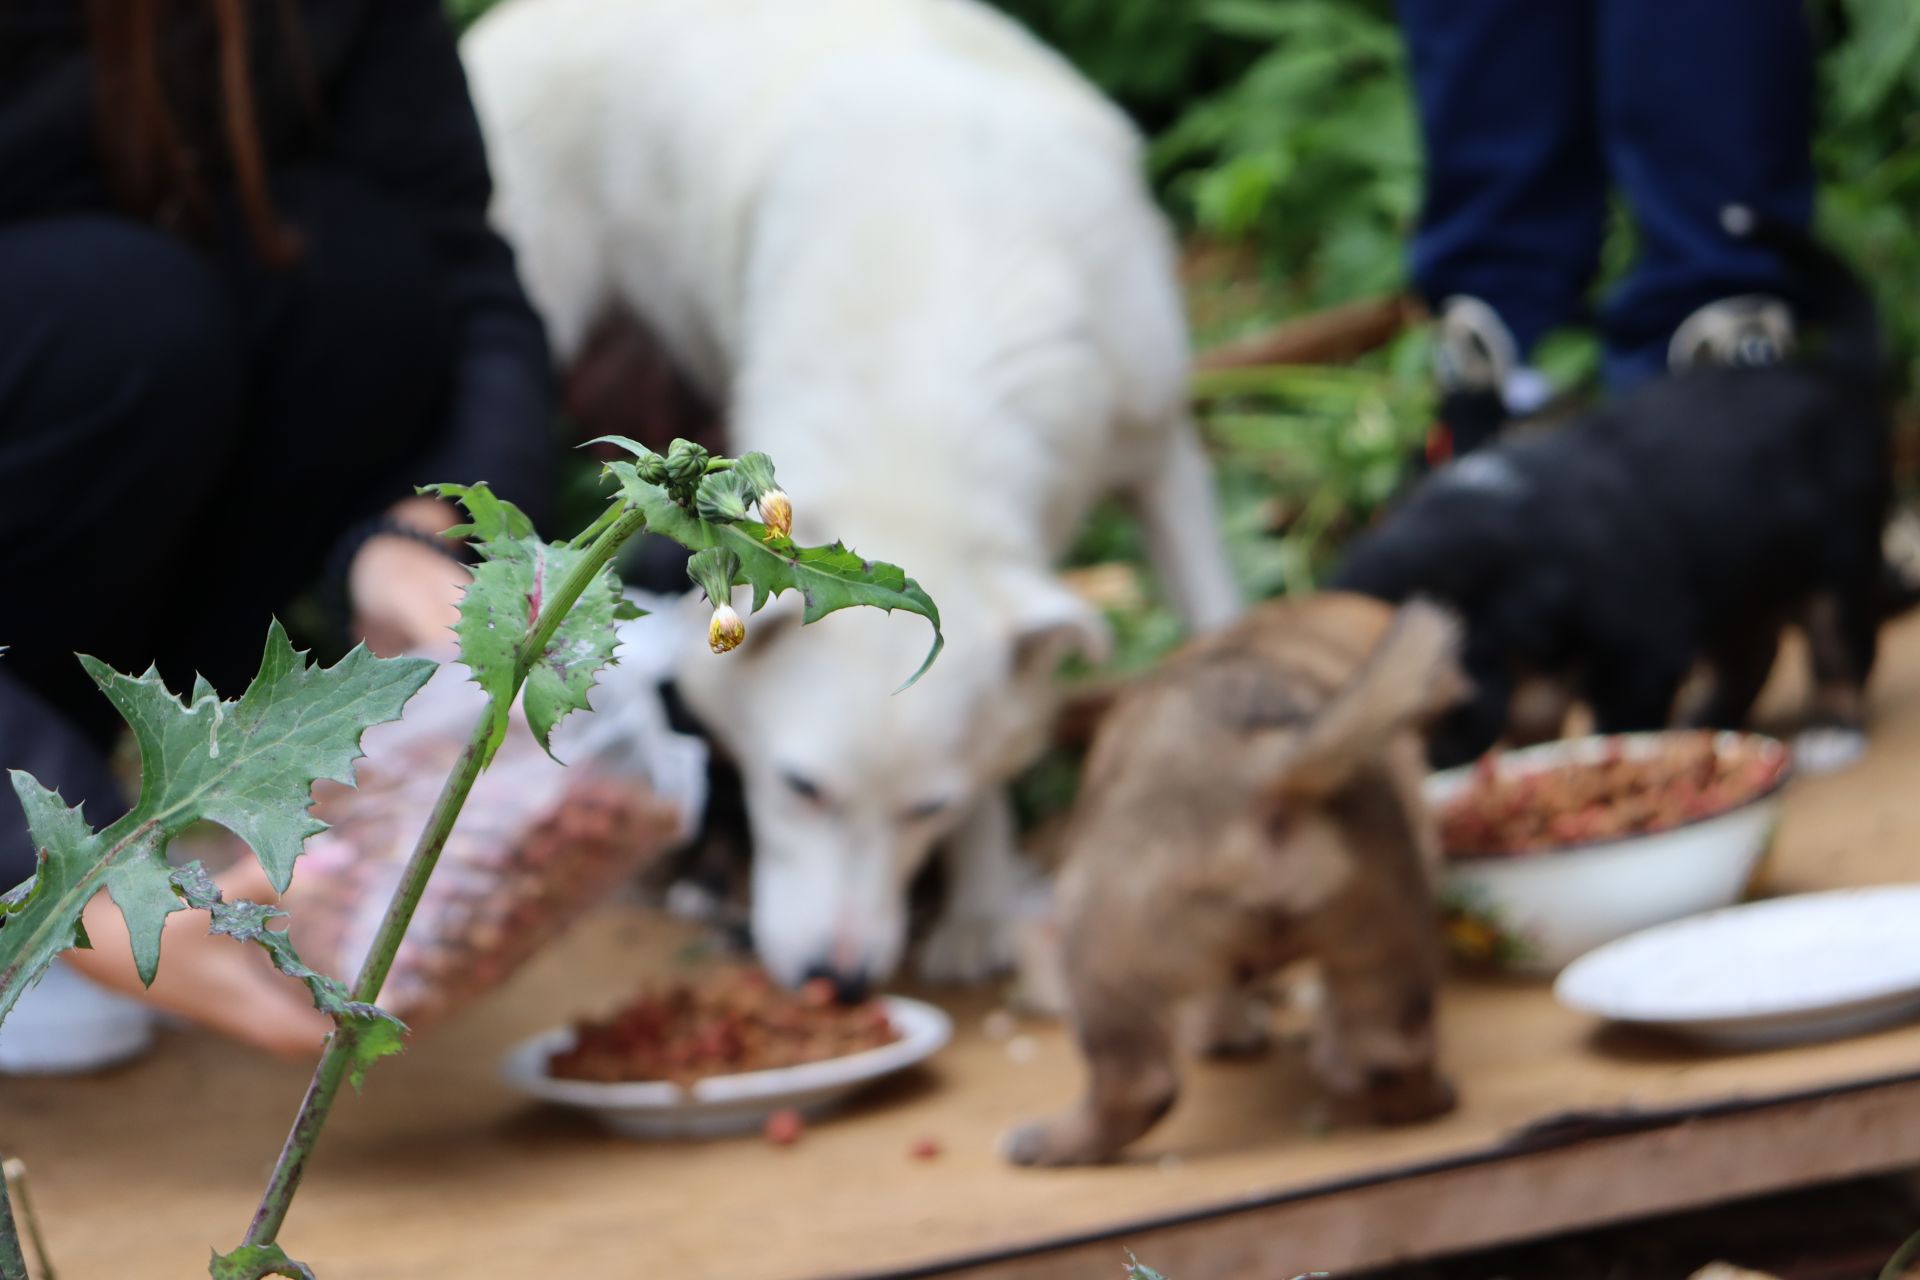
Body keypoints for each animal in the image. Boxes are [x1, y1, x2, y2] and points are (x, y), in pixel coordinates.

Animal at [464, 0, 1244, 990]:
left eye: (927, 811)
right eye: (801, 788)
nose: (834, 982)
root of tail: (496, 29)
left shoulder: (1159, 447)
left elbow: (1215, 625)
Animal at [1013, 594, 1459, 1166]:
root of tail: (1269, 771)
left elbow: (1213, 996)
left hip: (1100, 954)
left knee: (1137, 1087)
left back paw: (1051, 1144)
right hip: (1383, 939)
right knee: (1390, 1054)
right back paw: (1419, 1100)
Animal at [1336, 208, 1889, 771]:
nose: (1419, 776)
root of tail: (1832, 372)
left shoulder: (1641, 648)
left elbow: (1619, 723)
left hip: (1839, 558)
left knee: (1843, 645)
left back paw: (1830, 729)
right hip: (1739, 580)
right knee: (1755, 653)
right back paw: (1709, 718)